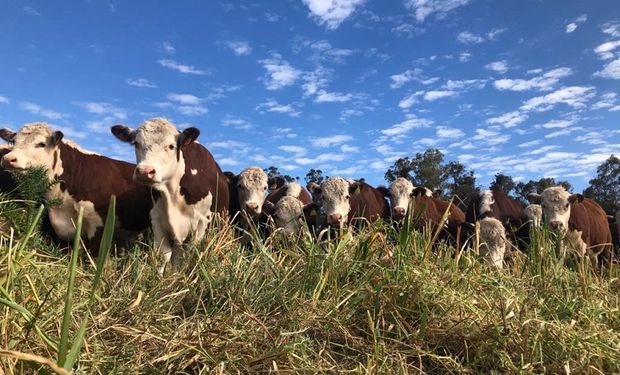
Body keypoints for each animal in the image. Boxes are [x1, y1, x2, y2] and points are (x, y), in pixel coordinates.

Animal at [110, 119, 229, 274]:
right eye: (136, 143)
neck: (172, 194)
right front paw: (161, 277)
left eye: (171, 146)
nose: (145, 171)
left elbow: (191, 254)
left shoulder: (203, 221)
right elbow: (165, 255)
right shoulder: (156, 218)